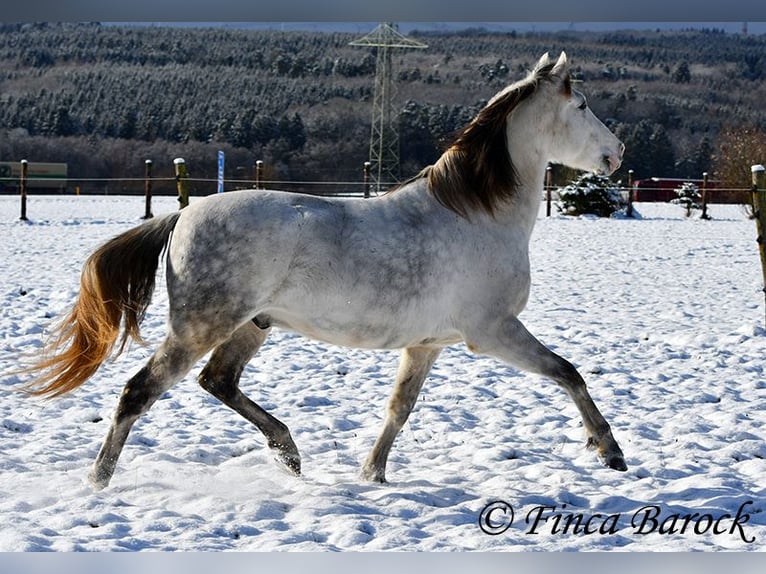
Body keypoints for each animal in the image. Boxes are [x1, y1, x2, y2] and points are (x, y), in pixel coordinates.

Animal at [21, 53, 632, 490]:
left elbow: (399, 409)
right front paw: (609, 450)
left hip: (252, 325)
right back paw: (98, 481)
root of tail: (182, 215)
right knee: (138, 393)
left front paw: (372, 474)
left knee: (218, 381)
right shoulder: (494, 331)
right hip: (199, 327)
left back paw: (288, 453)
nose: (618, 152)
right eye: (581, 105)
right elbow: (568, 373)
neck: (478, 215)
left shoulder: (428, 343)